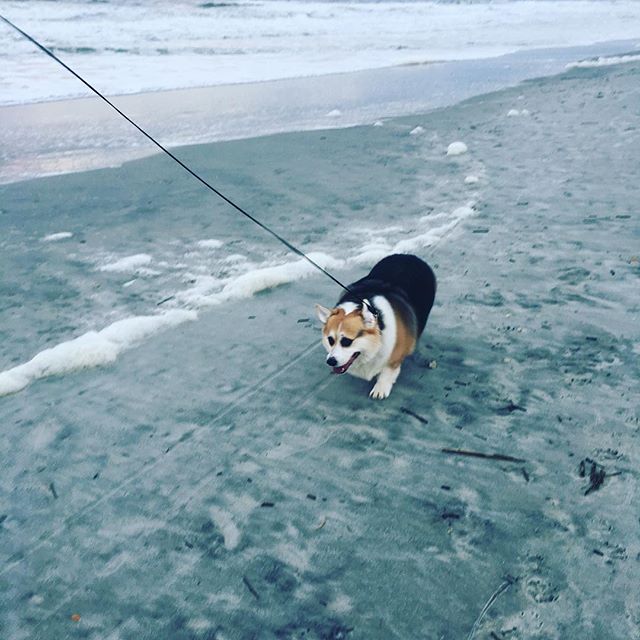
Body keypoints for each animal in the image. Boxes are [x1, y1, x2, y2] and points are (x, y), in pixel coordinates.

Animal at [316, 255, 436, 400]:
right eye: (330, 340)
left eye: (347, 341)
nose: (330, 361)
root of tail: (409, 256)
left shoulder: (393, 357)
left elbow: (388, 371)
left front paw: (380, 388)